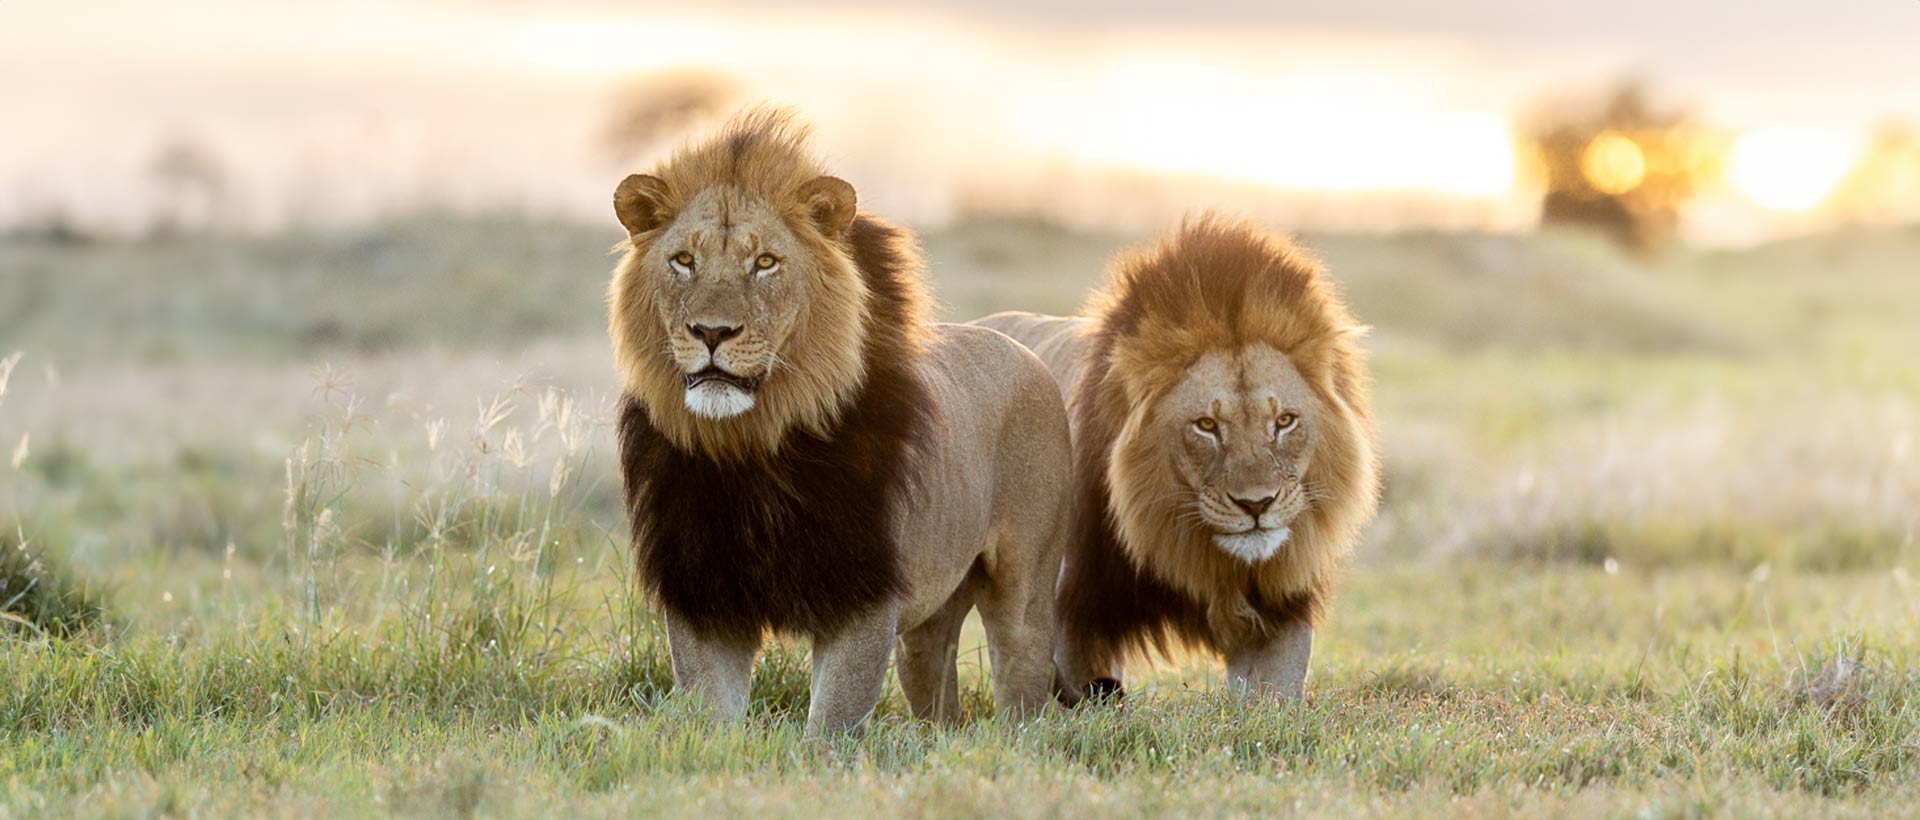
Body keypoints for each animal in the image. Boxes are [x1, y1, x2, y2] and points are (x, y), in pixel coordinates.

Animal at [609, 109, 1072, 733]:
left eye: (765, 263)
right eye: (684, 261)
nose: (711, 332)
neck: (751, 449)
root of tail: (1021, 347)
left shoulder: (864, 595)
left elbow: (830, 725)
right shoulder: (703, 596)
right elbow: (711, 717)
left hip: (1024, 588)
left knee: (1023, 684)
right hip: (926, 624)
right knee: (935, 684)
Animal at [974, 215, 1380, 703]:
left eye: (1284, 421)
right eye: (1206, 425)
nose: (1257, 505)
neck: (1194, 553)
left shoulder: (1278, 614)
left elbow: (1274, 700)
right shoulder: (1072, 612)